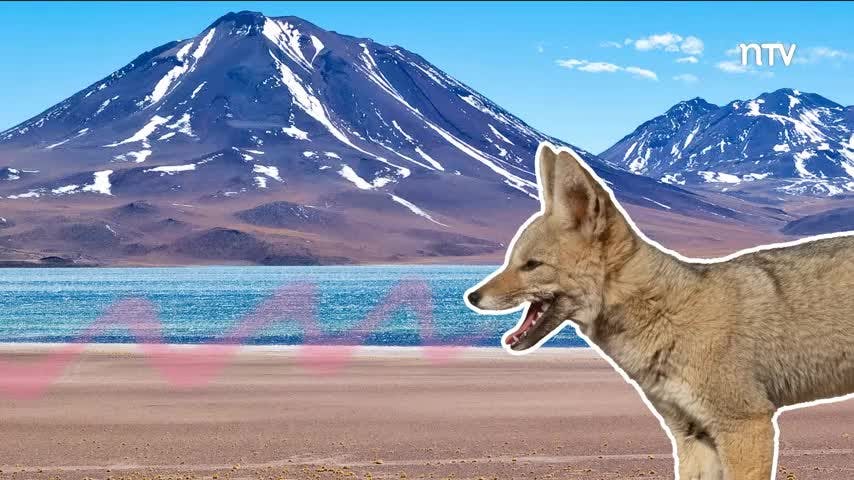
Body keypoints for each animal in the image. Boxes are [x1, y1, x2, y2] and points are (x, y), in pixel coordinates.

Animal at [465, 143, 854, 480]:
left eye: (532, 265)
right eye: (510, 260)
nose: (471, 296)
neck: (667, 312)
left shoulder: (746, 425)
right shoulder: (691, 436)